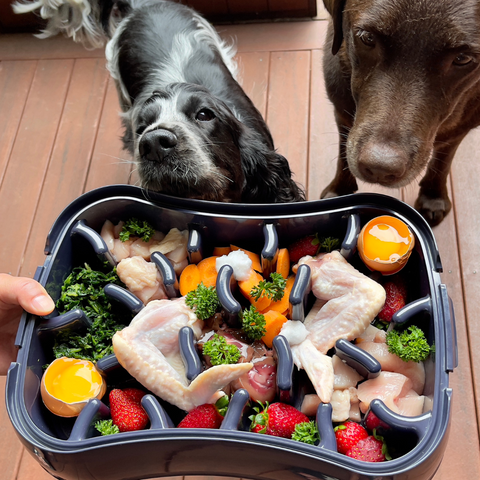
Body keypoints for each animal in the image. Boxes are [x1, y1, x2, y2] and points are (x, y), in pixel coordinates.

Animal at [320, 0, 480, 226]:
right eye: (367, 38)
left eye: (463, 58)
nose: (380, 168)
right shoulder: (342, 111)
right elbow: (344, 152)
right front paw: (339, 193)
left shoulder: (461, 126)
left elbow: (443, 160)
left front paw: (433, 197)